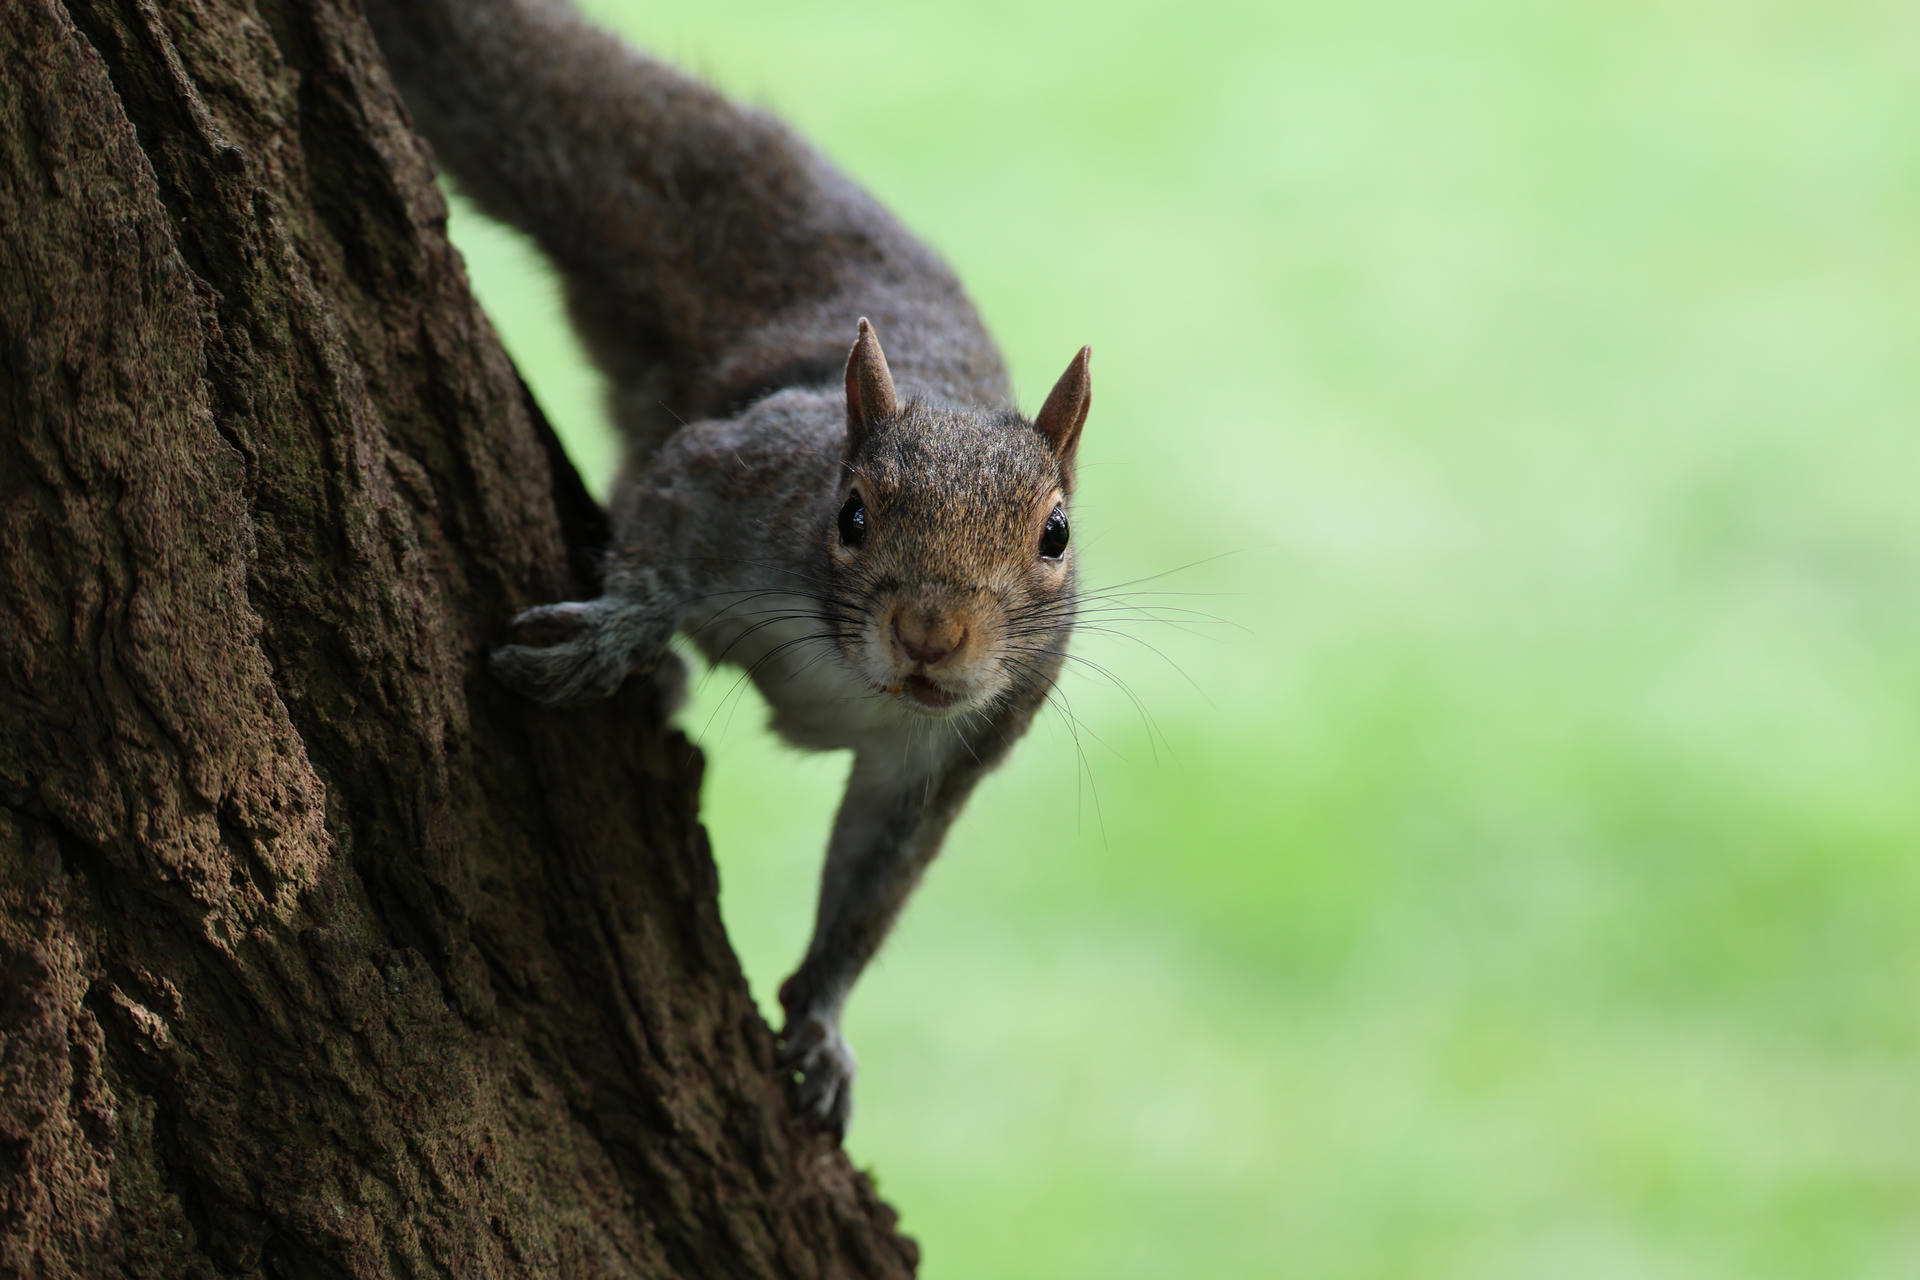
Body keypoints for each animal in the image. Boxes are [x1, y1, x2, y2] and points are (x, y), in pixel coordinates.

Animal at [366, 0, 1091, 1134]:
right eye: (849, 513)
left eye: (1055, 535)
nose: (931, 635)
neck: (848, 673)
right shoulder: (739, 478)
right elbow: (665, 532)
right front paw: (621, 630)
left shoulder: (953, 751)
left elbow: (872, 882)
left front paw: (824, 1021)